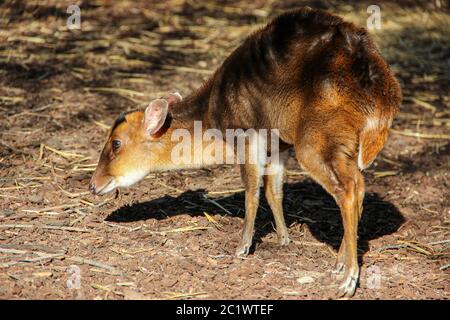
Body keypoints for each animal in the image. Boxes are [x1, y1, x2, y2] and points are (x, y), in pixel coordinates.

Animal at [88, 7, 400, 298]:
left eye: (115, 143)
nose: (93, 185)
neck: (212, 119)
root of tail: (383, 94)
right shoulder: (278, 146)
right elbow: (274, 191)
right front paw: (284, 239)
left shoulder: (247, 135)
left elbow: (252, 193)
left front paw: (242, 247)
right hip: (341, 145)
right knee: (359, 185)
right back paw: (339, 262)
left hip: (316, 140)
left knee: (347, 190)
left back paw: (348, 279)